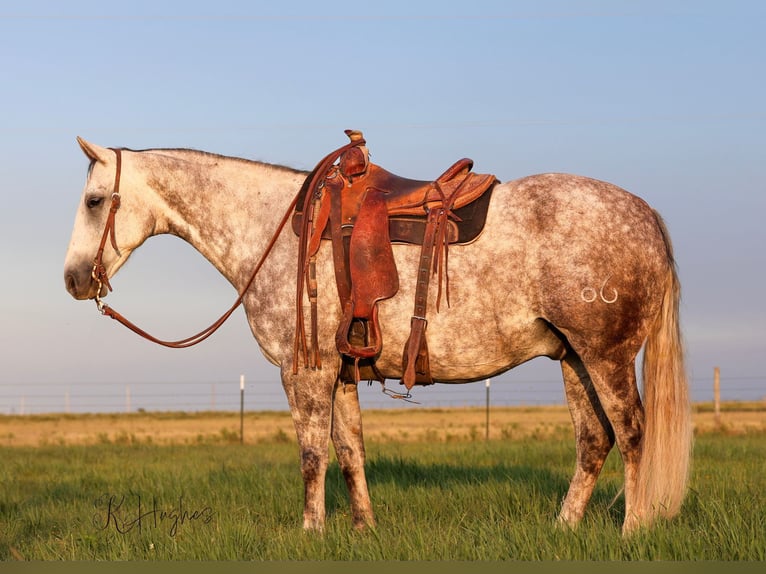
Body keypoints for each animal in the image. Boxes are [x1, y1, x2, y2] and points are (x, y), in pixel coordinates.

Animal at [64, 136, 691, 535]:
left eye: (94, 201)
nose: (72, 279)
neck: (278, 229)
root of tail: (645, 213)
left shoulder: (305, 371)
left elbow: (312, 453)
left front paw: (311, 531)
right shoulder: (341, 372)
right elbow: (349, 451)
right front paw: (363, 528)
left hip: (606, 357)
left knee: (632, 434)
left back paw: (633, 529)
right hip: (573, 358)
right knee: (594, 439)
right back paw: (563, 528)